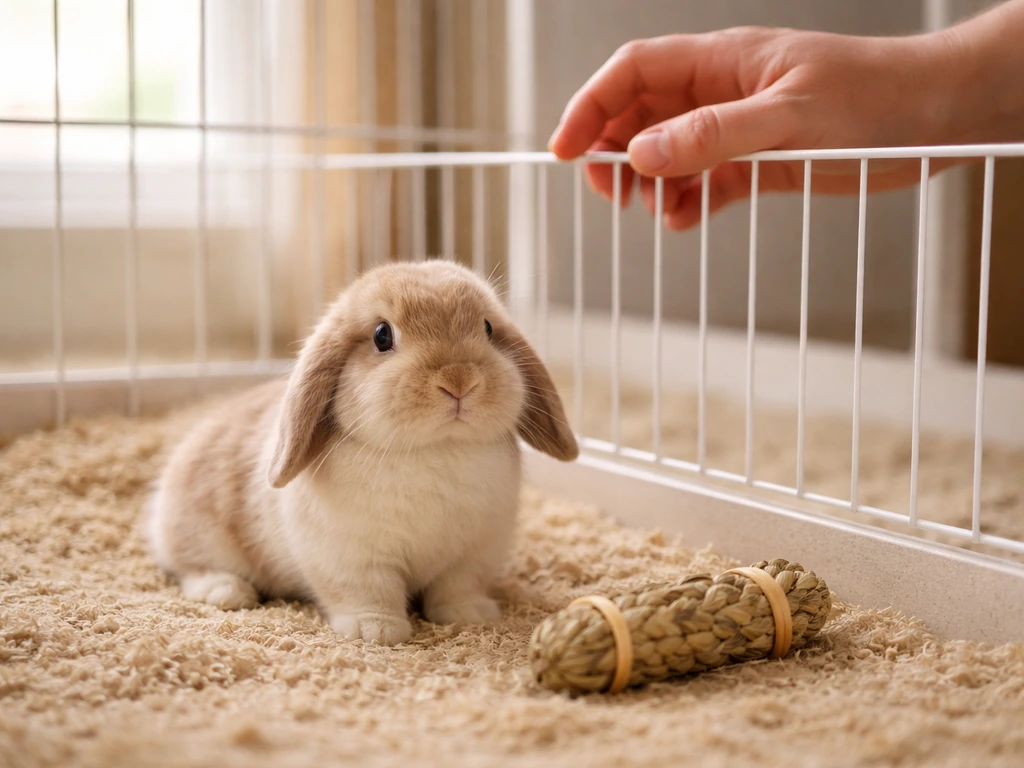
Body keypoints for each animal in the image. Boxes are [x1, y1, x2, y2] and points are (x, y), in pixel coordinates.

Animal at [147, 260, 578, 646]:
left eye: (488, 328)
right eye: (381, 336)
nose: (459, 380)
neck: (436, 449)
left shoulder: (474, 553)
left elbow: (457, 587)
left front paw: (470, 615)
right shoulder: (353, 558)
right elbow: (368, 592)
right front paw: (376, 630)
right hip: (202, 535)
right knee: (189, 567)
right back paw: (226, 591)